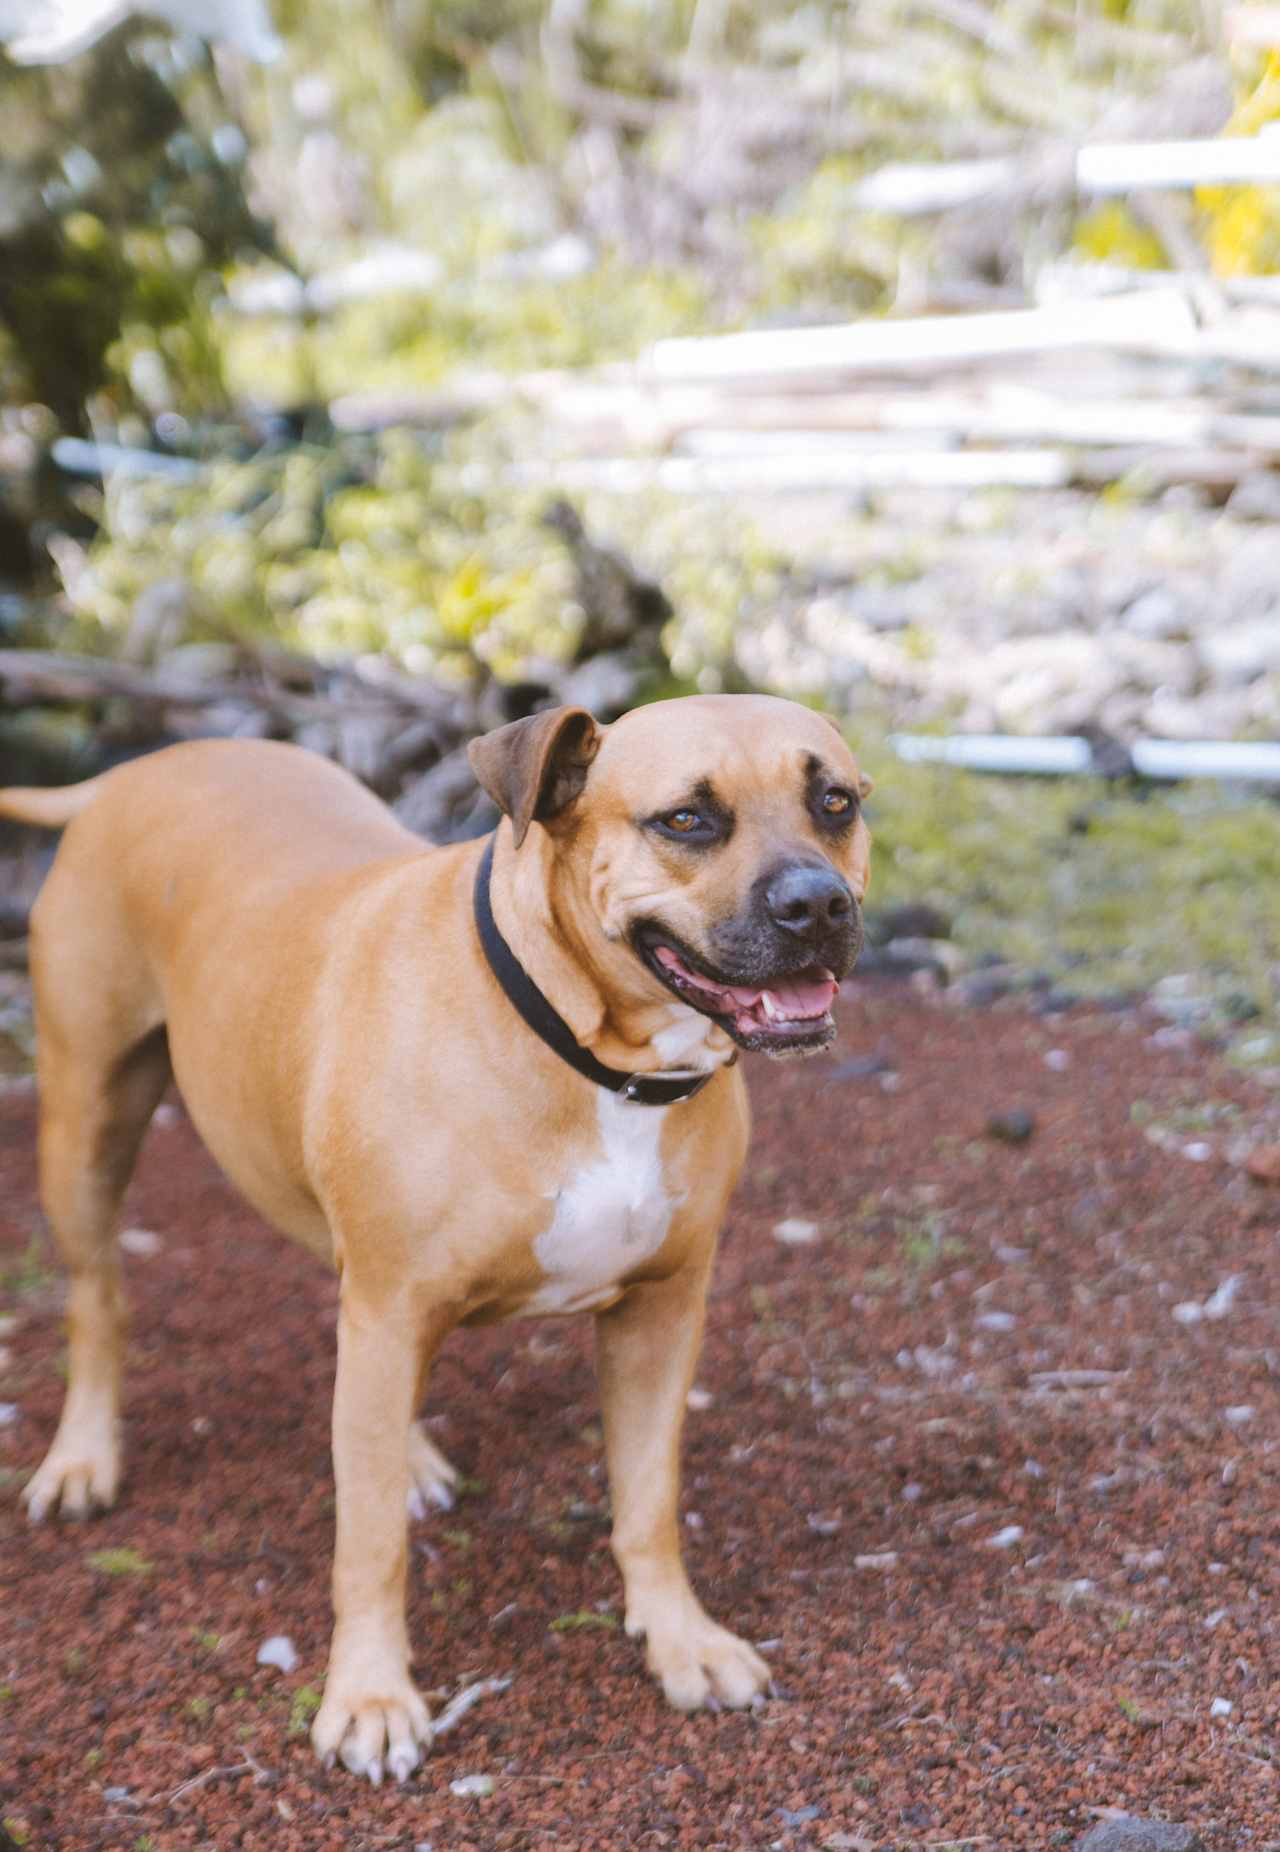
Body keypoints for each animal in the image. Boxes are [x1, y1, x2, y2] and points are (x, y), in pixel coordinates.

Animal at [0, 692, 878, 1777]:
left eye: (834, 802)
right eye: (685, 819)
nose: (817, 905)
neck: (594, 1055)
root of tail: (133, 770)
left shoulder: (660, 1313)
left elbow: (648, 1500)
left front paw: (679, 1638)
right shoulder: (392, 1309)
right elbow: (369, 1543)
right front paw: (370, 1696)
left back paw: (407, 1451)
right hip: (87, 1125)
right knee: (99, 1298)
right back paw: (83, 1458)